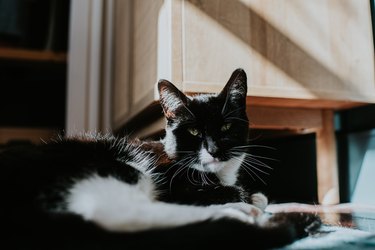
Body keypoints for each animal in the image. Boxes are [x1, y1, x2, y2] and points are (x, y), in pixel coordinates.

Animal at [0, 68, 320, 250]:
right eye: (193, 131)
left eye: (227, 127)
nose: (214, 150)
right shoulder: (176, 184)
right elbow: (232, 193)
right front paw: (246, 199)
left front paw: (252, 197)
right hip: (116, 165)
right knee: (119, 213)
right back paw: (240, 214)